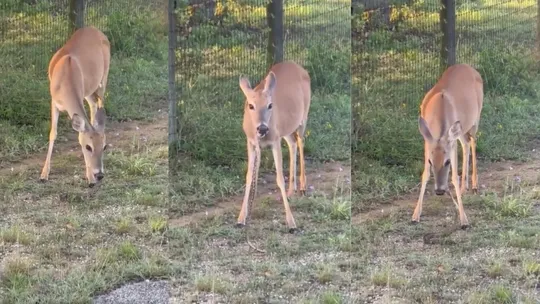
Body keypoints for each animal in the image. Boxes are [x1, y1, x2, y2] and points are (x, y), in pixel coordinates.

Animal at [39, 26, 110, 188]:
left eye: (104, 147)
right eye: (88, 147)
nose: (100, 175)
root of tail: (95, 29)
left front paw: (90, 178)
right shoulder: (54, 102)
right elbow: (53, 133)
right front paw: (44, 174)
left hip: (103, 77)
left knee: (99, 104)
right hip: (90, 89)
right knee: (94, 104)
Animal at [412, 63, 484, 228]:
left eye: (447, 162)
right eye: (431, 162)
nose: (439, 191)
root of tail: (470, 67)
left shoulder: (450, 143)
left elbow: (454, 177)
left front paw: (464, 220)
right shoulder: (428, 141)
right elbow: (425, 174)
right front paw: (415, 215)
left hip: (475, 118)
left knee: (473, 141)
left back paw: (474, 185)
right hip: (462, 130)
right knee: (466, 143)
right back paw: (465, 188)